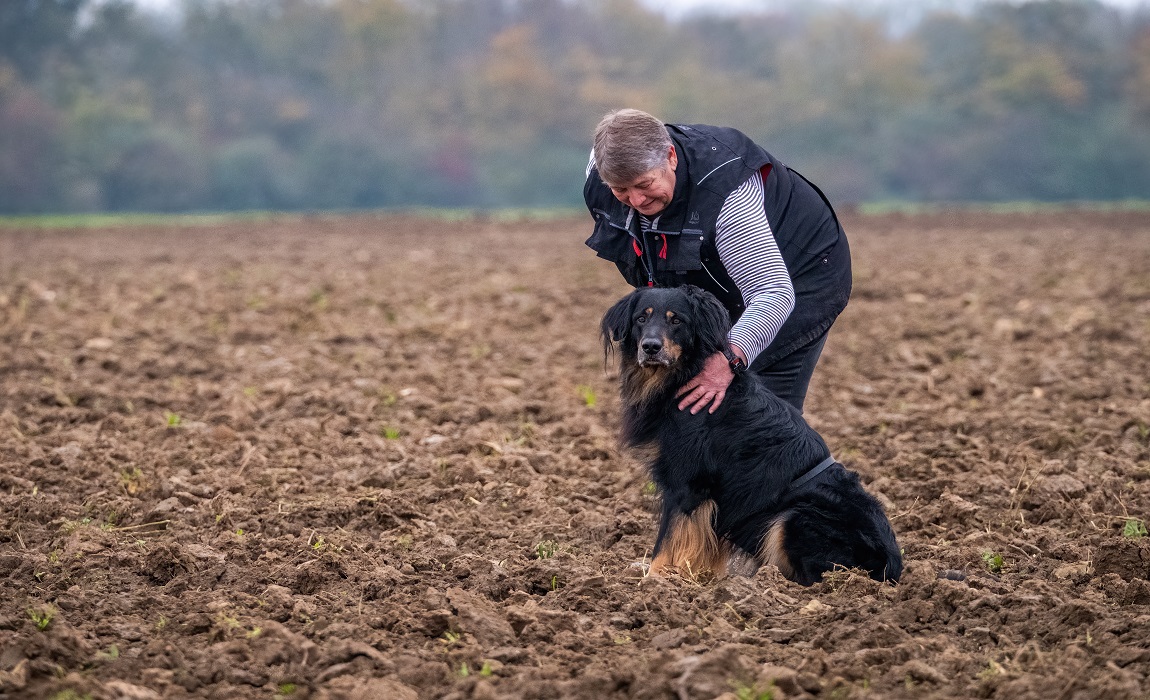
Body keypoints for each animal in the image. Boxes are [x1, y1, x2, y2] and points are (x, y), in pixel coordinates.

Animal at [598, 283, 901, 583]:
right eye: (641, 318)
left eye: (677, 321)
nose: (650, 347)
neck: (682, 375)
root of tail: (893, 568)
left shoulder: (687, 484)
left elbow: (669, 538)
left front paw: (654, 578)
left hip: (792, 517)